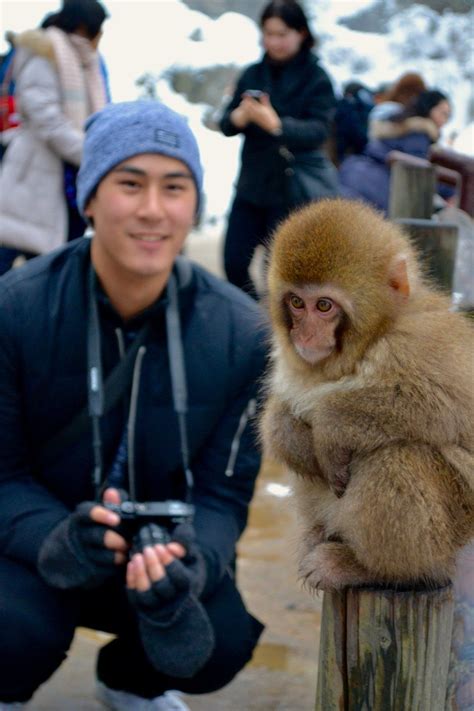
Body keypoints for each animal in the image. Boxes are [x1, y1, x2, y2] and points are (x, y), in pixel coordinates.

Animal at [262, 197, 474, 592]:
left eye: (324, 306)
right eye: (297, 302)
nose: (304, 334)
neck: (368, 342)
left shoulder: (417, 343)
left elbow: (442, 407)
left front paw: (329, 428)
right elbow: (284, 409)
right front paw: (287, 434)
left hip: (454, 530)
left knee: (396, 457)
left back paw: (377, 569)